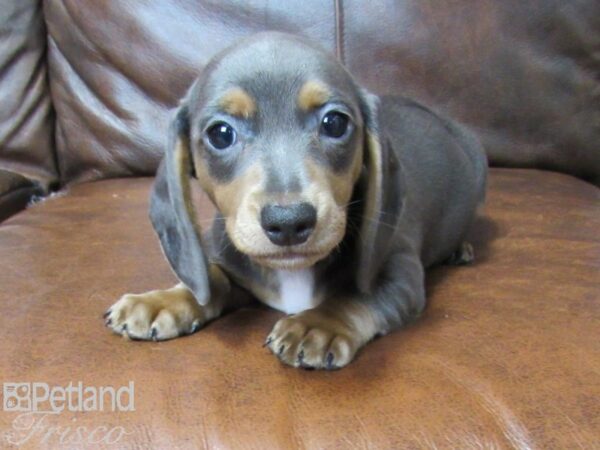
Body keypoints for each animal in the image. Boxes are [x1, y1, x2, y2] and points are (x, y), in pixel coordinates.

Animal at [104, 32, 488, 370]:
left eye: (335, 123)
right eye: (220, 134)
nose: (288, 222)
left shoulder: (400, 270)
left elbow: (356, 294)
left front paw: (318, 325)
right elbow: (213, 278)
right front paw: (160, 301)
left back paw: (460, 248)